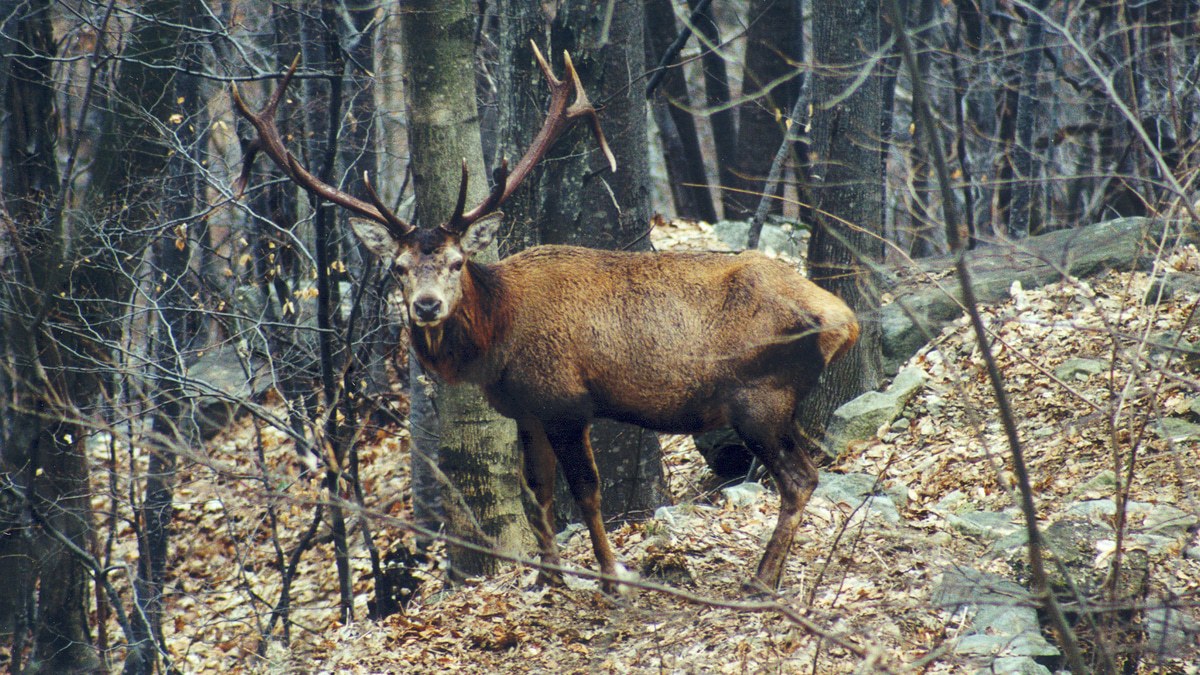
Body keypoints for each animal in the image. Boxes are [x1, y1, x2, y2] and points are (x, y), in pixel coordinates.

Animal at [232, 43, 859, 594]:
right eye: (399, 268)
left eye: (457, 262)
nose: (426, 305)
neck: (499, 338)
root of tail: (844, 319)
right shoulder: (527, 410)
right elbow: (538, 496)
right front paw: (547, 578)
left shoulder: (565, 400)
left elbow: (586, 493)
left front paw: (611, 578)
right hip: (776, 402)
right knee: (807, 471)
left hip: (759, 396)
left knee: (798, 479)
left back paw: (761, 580)